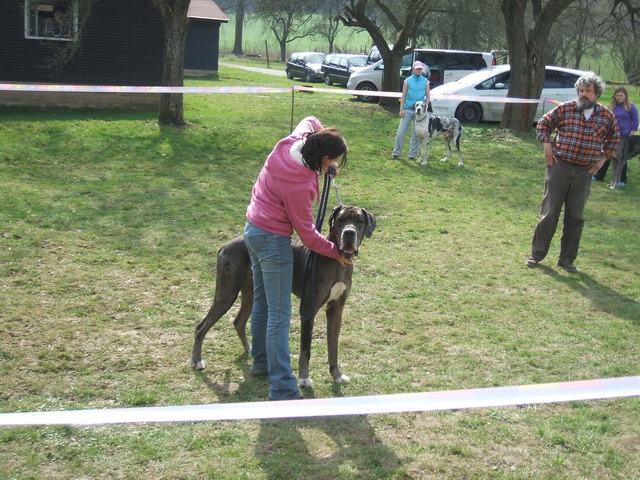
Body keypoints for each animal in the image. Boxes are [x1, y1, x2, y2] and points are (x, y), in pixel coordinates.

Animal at [192, 204, 378, 388]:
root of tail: (224, 246)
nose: (349, 233)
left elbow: (333, 346)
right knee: (201, 327)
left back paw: (251, 351)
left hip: (252, 293)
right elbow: (305, 350)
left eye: (359, 221)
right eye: (340, 220)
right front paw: (304, 378)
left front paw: (337, 375)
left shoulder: (336, 310)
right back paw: (197, 361)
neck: (336, 261)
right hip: (227, 294)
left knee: (239, 321)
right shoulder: (308, 310)